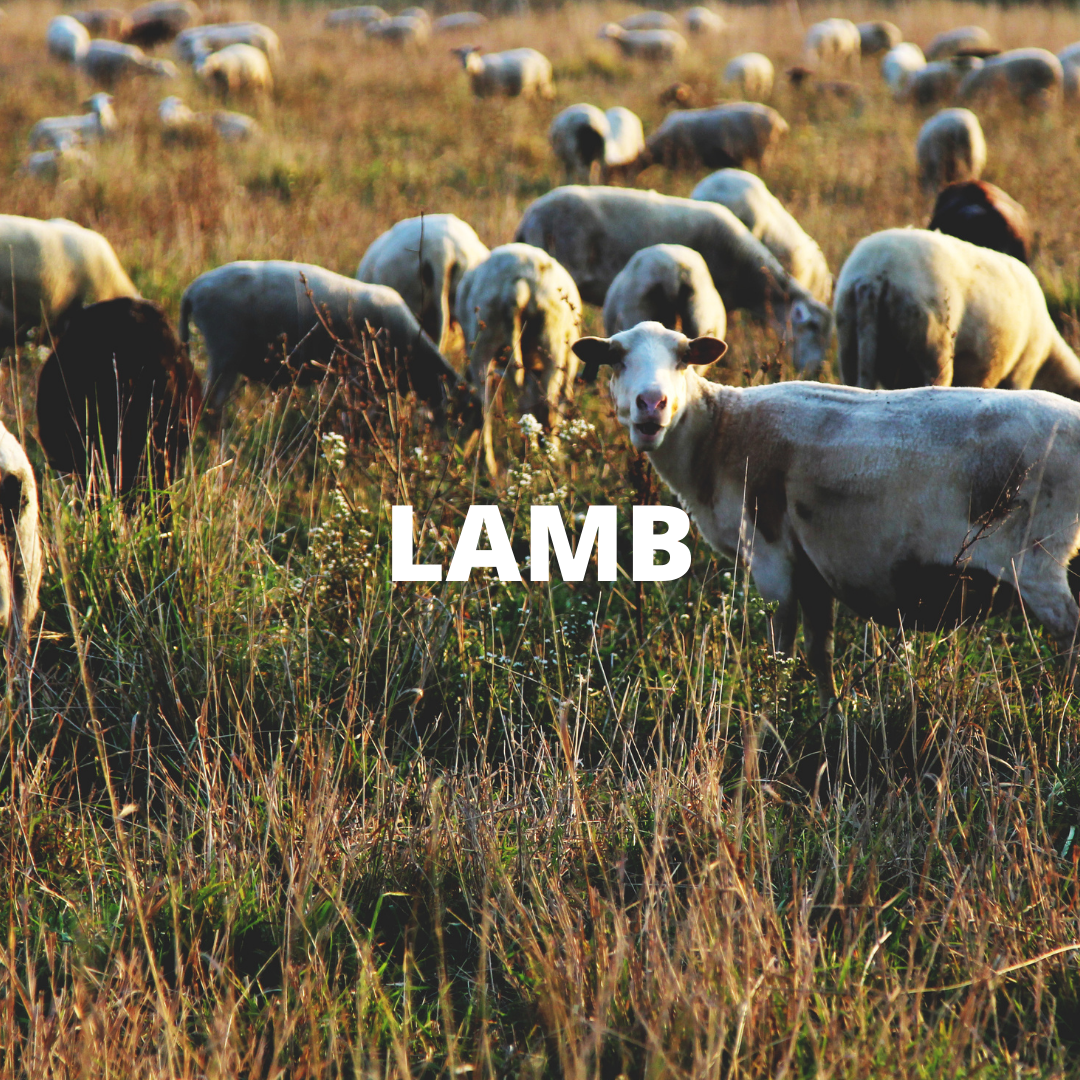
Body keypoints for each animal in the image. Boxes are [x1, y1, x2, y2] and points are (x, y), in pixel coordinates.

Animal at [455, 243, 582, 476]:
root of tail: (517, 287)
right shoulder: (569, 360)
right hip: (553, 341)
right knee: (545, 407)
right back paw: (540, 462)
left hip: (483, 342)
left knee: (486, 407)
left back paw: (490, 467)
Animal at [572, 321, 1080, 702]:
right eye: (616, 358)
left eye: (683, 358)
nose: (651, 404)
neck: (720, 434)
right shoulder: (812, 564)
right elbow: (820, 654)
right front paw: (826, 715)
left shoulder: (771, 556)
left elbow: (780, 649)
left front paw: (773, 715)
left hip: (1035, 557)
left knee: (1071, 634)